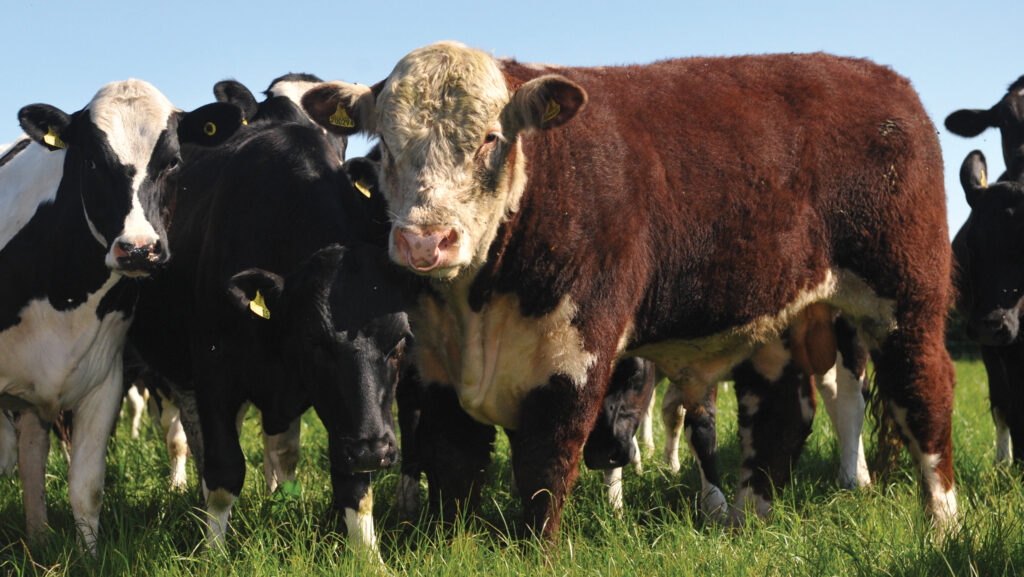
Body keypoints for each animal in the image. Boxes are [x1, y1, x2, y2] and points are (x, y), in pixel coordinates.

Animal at [0, 79, 241, 552]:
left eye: (173, 161)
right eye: (92, 161)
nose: (138, 249)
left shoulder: (103, 381)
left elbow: (87, 488)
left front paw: (90, 557)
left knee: (33, 454)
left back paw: (39, 539)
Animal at [127, 83, 410, 554]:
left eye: (400, 342)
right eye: (316, 342)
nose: (375, 450)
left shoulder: (347, 416)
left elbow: (352, 482)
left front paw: (369, 555)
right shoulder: (215, 368)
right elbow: (225, 470)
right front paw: (215, 553)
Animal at [302, 41, 957, 542]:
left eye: (489, 138)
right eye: (385, 145)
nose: (425, 241)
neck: (480, 308)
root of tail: (884, 81)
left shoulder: (576, 351)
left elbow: (547, 463)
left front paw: (534, 551)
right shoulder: (435, 362)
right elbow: (452, 461)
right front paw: (451, 543)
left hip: (905, 299)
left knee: (924, 393)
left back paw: (942, 523)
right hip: (781, 315)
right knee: (780, 411)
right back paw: (748, 523)